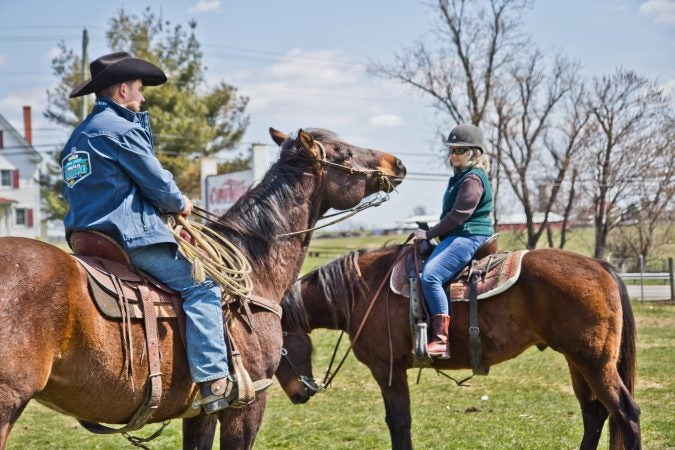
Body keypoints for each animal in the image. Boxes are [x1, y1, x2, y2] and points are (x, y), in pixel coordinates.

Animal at [278, 244, 640, 450]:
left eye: (278, 351)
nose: (299, 394)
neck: (362, 290)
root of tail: (600, 266)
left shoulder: (387, 368)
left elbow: (399, 422)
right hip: (577, 361)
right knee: (594, 414)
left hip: (594, 363)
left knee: (626, 412)